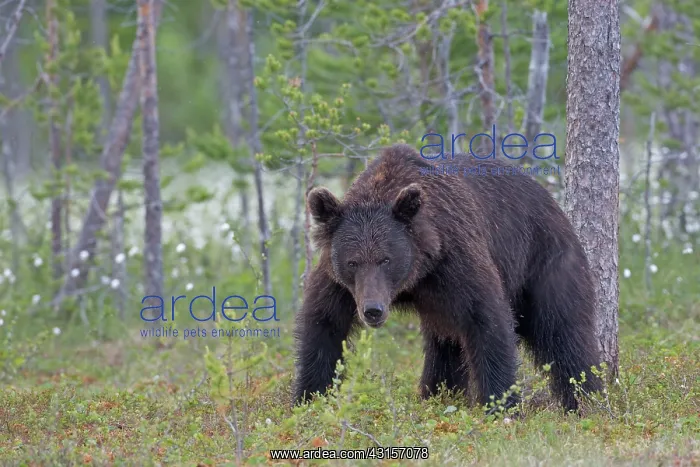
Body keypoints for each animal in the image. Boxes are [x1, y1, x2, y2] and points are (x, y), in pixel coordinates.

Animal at [292, 143, 603, 414]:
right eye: (352, 262)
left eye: (386, 259)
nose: (373, 310)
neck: (416, 275)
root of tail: (551, 199)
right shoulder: (340, 283)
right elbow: (324, 324)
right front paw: (308, 398)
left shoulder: (456, 258)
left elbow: (488, 318)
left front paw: (501, 405)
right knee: (444, 346)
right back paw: (437, 393)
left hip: (543, 260)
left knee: (563, 331)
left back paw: (587, 400)